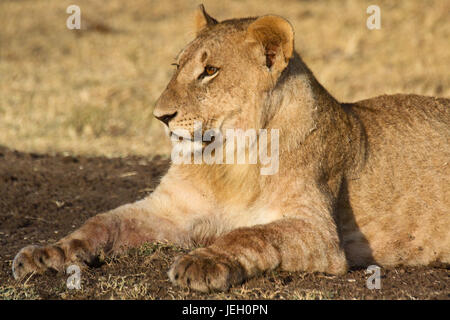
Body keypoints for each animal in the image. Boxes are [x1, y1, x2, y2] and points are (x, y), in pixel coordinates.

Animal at [12, 5, 448, 292]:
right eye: (178, 67)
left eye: (210, 71)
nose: (160, 116)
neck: (227, 159)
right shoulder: (169, 210)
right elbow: (100, 223)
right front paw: (46, 254)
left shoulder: (319, 232)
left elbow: (249, 234)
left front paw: (201, 262)